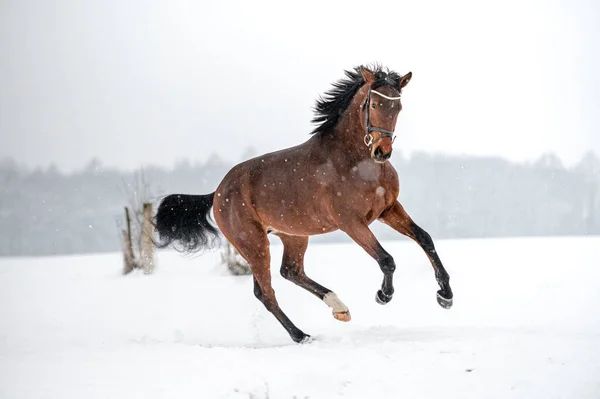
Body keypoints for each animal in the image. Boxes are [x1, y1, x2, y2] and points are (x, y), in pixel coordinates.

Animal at [152, 65, 452, 344]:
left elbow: (425, 239)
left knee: (290, 272)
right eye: (375, 104)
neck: (358, 163)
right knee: (266, 292)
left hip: (293, 235)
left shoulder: (388, 209)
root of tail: (216, 193)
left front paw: (445, 296)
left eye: (398, 106)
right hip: (253, 243)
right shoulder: (351, 222)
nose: (382, 151)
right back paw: (301, 335)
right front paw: (383, 295)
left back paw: (339, 308)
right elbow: (386, 259)